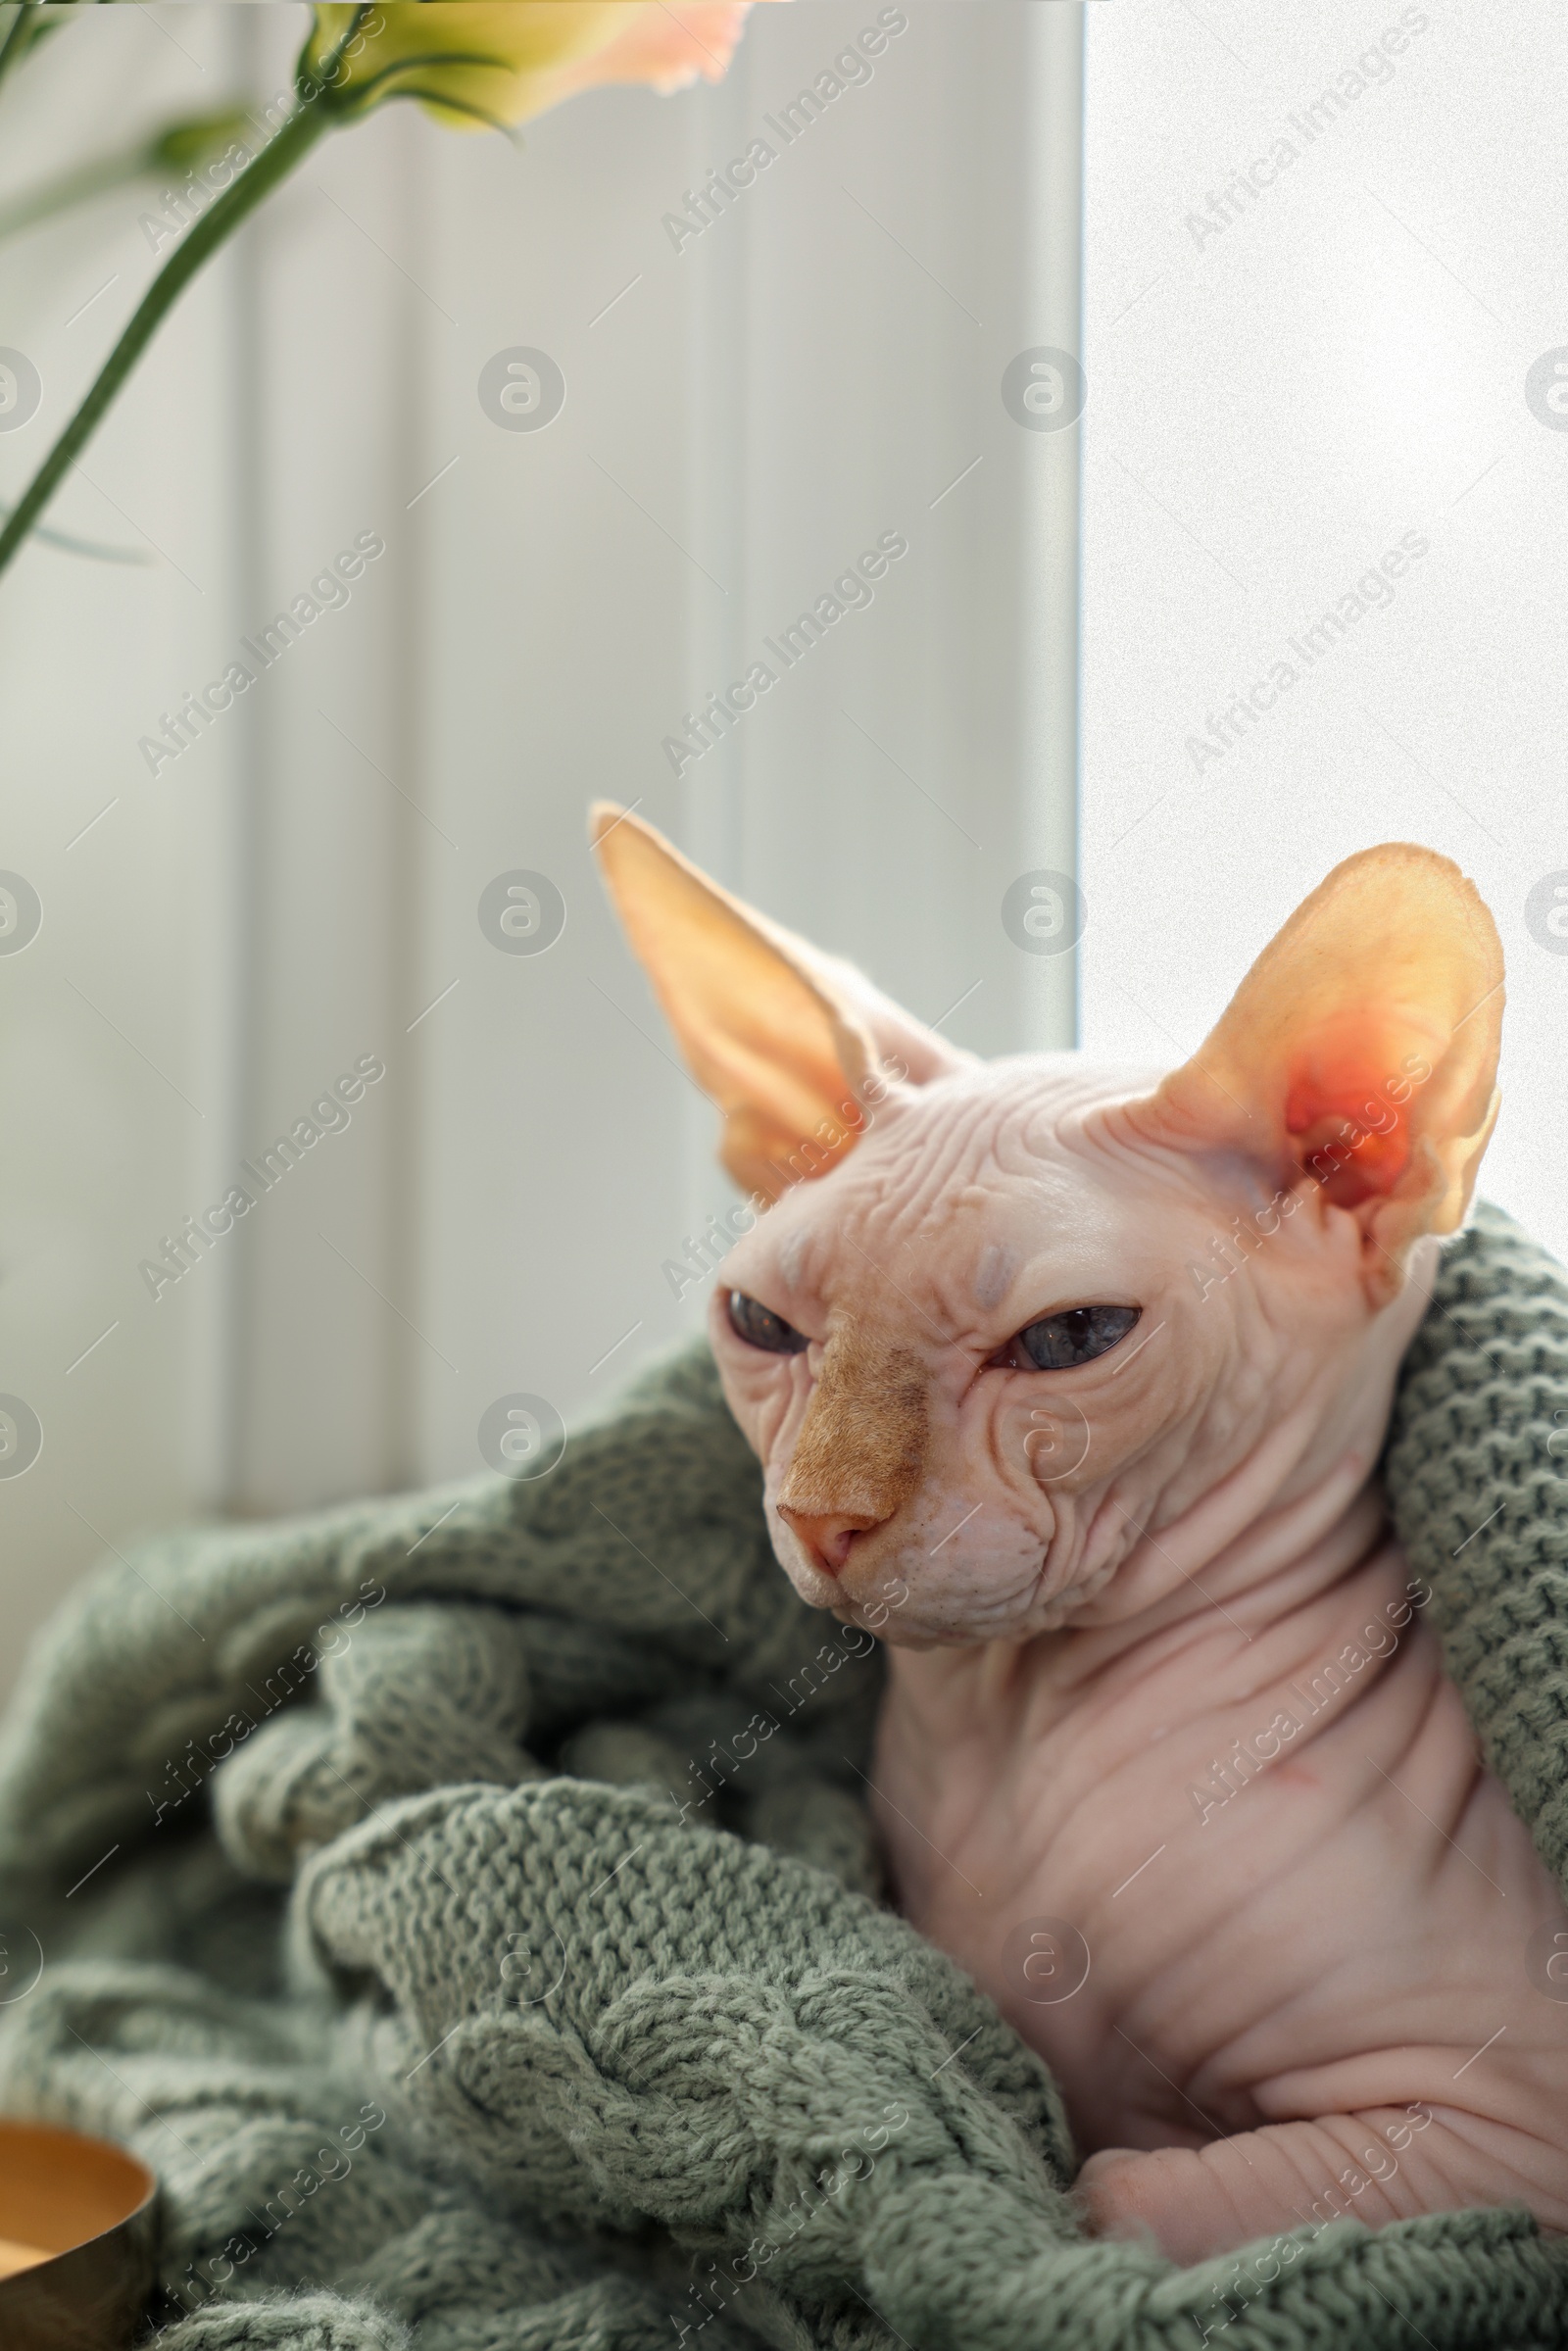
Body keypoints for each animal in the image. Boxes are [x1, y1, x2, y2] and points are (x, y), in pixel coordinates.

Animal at [592, 808, 1568, 2257]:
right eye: (759, 1322)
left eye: (1071, 1337)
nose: (824, 1510)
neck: (1018, 1739)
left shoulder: (1500, 2131)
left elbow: (1091, 2193)